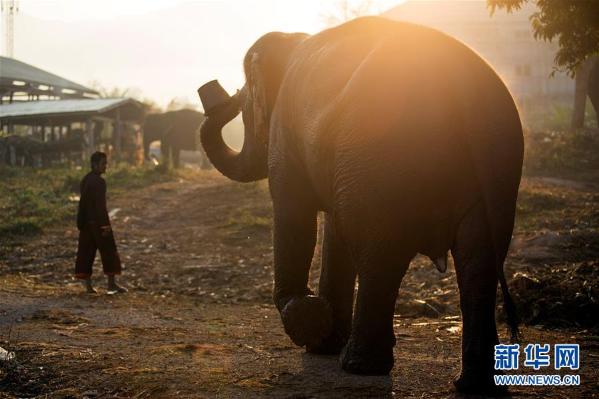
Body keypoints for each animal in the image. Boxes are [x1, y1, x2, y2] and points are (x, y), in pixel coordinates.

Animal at [199, 17, 524, 396]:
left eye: (246, 103)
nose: (220, 96)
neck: (294, 40)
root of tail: (462, 85)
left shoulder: (286, 129)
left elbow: (295, 211)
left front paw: (309, 321)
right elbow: (333, 230)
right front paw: (321, 343)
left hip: (377, 160)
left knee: (378, 253)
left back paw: (360, 367)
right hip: (497, 169)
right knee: (478, 262)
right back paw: (474, 385)